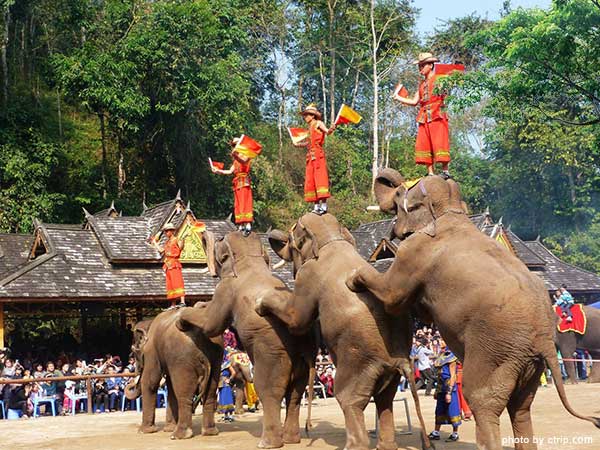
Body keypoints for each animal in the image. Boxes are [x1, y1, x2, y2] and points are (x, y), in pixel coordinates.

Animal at [125, 308, 224, 438]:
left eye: (133, 351)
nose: (131, 381)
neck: (150, 322)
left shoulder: (151, 350)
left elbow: (150, 382)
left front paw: (144, 431)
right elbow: (170, 386)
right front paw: (168, 428)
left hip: (182, 358)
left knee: (183, 393)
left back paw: (178, 435)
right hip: (216, 357)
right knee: (210, 393)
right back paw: (210, 432)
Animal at [177, 230, 318, 448]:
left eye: (219, 242)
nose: (204, 233)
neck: (250, 259)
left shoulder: (226, 289)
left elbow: (211, 324)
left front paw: (182, 319)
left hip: (272, 352)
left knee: (268, 389)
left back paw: (268, 443)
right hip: (302, 361)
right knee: (295, 393)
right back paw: (291, 439)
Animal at [255, 213, 434, 450]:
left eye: (293, 241)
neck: (331, 238)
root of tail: (399, 361)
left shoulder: (307, 275)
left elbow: (297, 320)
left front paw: (259, 304)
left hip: (357, 362)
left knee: (349, 398)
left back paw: (353, 445)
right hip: (390, 372)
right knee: (385, 399)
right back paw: (385, 445)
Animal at [346, 170, 600, 450]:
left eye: (401, 194)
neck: (451, 210)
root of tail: (543, 338)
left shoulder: (414, 252)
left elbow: (392, 296)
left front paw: (353, 280)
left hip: (494, 351)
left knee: (482, 400)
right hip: (528, 362)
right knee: (522, 406)